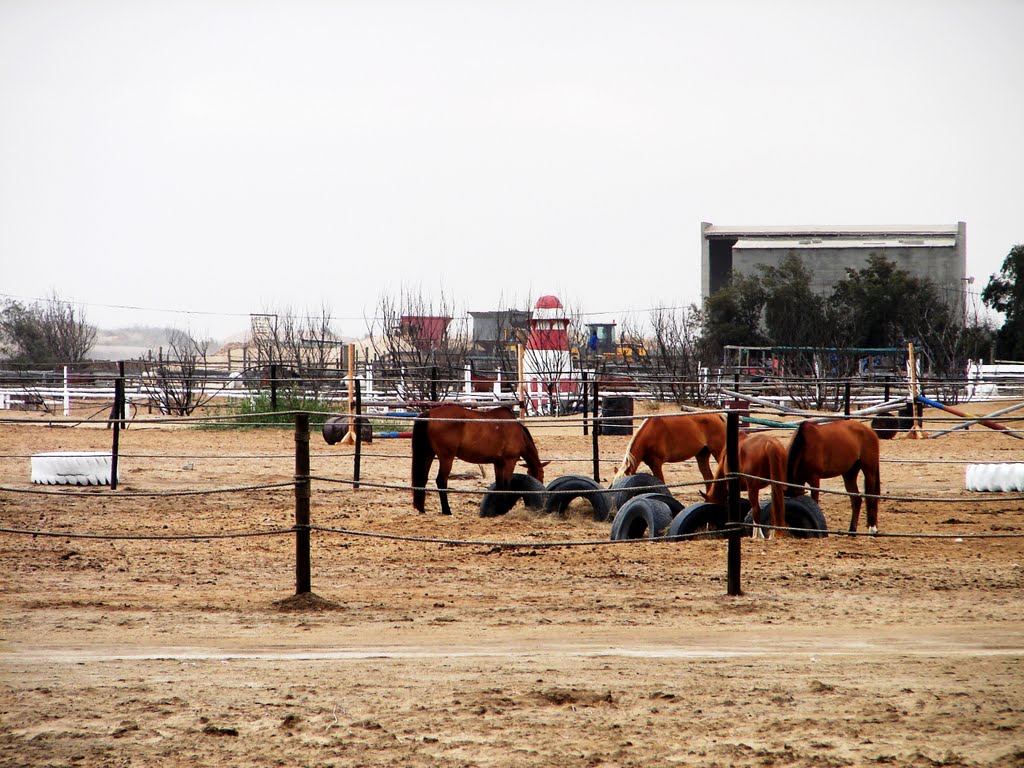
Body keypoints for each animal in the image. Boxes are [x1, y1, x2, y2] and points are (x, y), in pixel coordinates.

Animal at [411, 403, 548, 518]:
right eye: (541, 475)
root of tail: (429, 414)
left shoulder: (498, 463)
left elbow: (500, 486)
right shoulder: (510, 461)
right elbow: (506, 485)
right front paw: (504, 507)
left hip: (428, 454)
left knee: (422, 479)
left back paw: (422, 509)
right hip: (446, 458)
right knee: (441, 480)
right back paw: (447, 511)